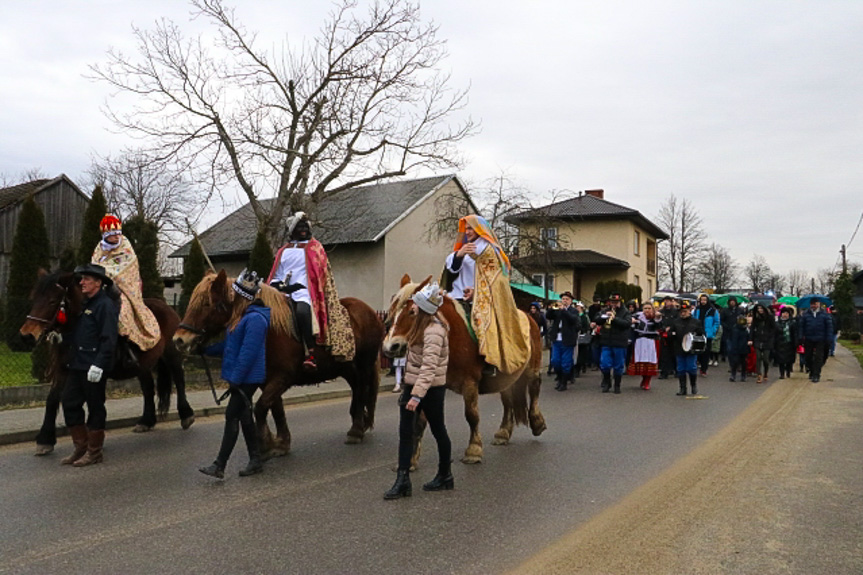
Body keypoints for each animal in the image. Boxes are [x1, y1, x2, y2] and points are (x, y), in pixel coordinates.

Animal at [18, 268, 196, 454]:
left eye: (52, 301)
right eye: (34, 299)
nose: (26, 335)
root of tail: (168, 307)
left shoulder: (96, 372)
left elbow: (94, 400)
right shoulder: (63, 370)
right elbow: (52, 399)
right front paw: (45, 440)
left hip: (172, 355)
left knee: (179, 380)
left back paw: (186, 416)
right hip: (143, 366)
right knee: (148, 389)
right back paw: (146, 421)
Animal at [172, 272, 384, 460]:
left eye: (207, 304)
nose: (179, 340)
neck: (269, 329)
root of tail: (370, 312)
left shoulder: (282, 378)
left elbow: (260, 408)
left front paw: (266, 445)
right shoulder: (267, 381)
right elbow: (275, 408)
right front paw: (281, 443)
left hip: (363, 365)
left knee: (362, 390)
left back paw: (356, 431)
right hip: (347, 368)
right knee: (357, 389)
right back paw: (359, 424)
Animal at [384, 274, 548, 464]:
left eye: (412, 311)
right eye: (392, 310)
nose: (391, 346)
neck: (451, 336)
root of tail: (527, 316)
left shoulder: (469, 382)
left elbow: (471, 415)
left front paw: (474, 449)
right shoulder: (428, 384)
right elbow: (420, 421)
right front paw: (411, 460)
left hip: (532, 368)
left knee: (535, 389)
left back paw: (537, 423)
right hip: (505, 376)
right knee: (507, 400)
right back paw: (503, 432)